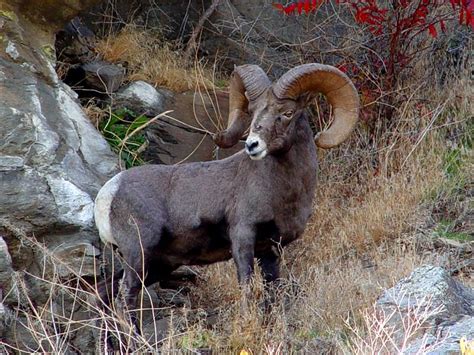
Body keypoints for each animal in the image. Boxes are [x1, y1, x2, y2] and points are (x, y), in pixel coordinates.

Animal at [93, 63, 360, 308]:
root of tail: (107, 195)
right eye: (253, 111)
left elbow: (272, 292)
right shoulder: (242, 236)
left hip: (158, 264)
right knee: (125, 297)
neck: (284, 192)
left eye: (287, 112)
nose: (252, 145)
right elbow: (247, 289)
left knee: (104, 293)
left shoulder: (271, 250)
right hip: (139, 255)